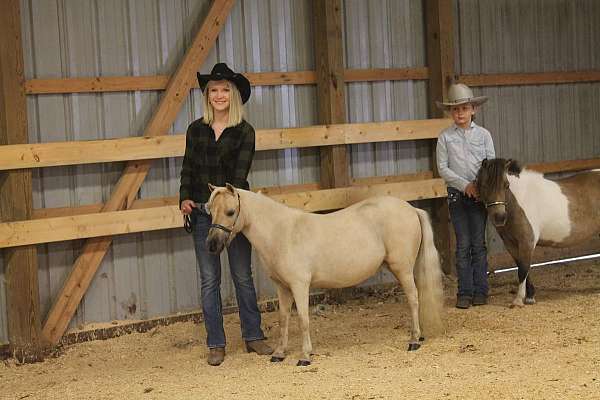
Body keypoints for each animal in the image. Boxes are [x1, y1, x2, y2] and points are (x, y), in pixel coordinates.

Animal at [204, 184, 442, 366]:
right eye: (210, 211)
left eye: (230, 212)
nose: (212, 245)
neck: (282, 232)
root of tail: (411, 209)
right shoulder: (282, 287)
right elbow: (283, 319)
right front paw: (279, 354)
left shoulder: (300, 285)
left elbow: (303, 319)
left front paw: (305, 356)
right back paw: (419, 335)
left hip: (402, 268)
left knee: (413, 299)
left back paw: (414, 341)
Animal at [478, 159, 600, 306]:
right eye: (484, 185)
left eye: (506, 185)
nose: (500, 217)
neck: (521, 200)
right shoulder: (511, 244)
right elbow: (521, 267)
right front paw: (530, 296)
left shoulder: (527, 241)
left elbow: (523, 269)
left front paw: (518, 300)